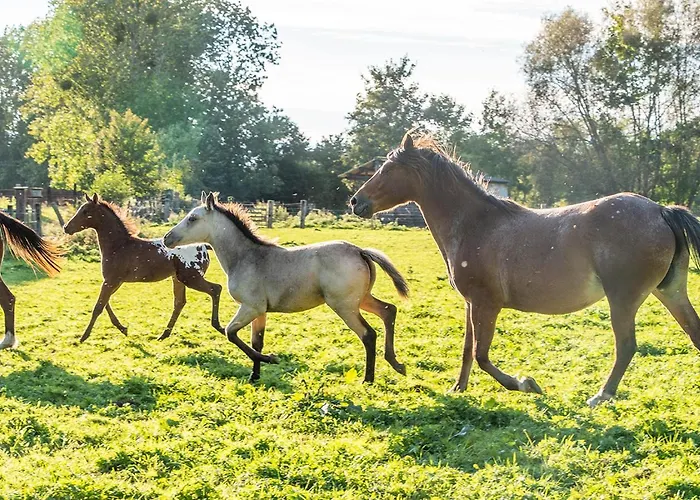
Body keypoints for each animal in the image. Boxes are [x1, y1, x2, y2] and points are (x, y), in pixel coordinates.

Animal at [64, 193, 224, 342]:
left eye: (85, 211)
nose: (66, 227)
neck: (119, 246)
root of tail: (203, 246)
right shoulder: (114, 281)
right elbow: (105, 303)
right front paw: (123, 329)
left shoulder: (111, 281)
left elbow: (98, 306)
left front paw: (83, 337)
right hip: (178, 279)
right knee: (179, 302)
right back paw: (163, 335)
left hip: (191, 278)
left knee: (215, 289)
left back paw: (218, 326)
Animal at [163, 192, 409, 383]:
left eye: (193, 218)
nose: (167, 238)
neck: (246, 258)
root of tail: (360, 251)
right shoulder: (260, 311)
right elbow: (256, 342)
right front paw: (254, 376)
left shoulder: (250, 307)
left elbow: (230, 332)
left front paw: (271, 359)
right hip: (362, 299)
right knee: (388, 311)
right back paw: (396, 364)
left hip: (344, 306)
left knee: (368, 334)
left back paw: (368, 379)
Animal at [350, 132, 700, 407]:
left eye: (388, 169)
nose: (355, 201)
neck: (475, 225)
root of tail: (660, 209)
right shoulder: (471, 303)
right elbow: (467, 350)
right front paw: (457, 388)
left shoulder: (487, 303)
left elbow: (482, 354)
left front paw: (526, 384)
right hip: (669, 291)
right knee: (693, 332)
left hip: (623, 299)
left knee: (626, 346)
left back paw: (600, 396)